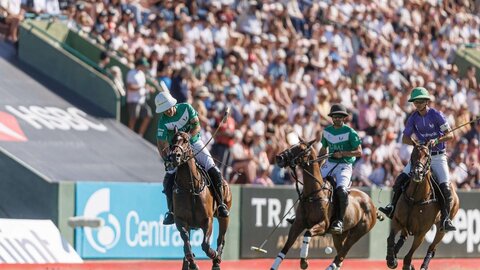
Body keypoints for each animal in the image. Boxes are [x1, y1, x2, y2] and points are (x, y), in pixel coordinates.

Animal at [169, 130, 232, 268]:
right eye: (171, 140)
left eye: (186, 140)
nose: (174, 156)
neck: (190, 187)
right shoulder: (181, 220)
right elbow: (186, 243)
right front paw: (192, 263)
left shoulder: (207, 220)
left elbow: (205, 244)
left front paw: (214, 255)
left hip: (224, 216)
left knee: (221, 238)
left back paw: (217, 261)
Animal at [272, 139, 380, 270]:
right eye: (292, 145)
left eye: (301, 149)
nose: (279, 157)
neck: (314, 194)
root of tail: (372, 204)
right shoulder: (298, 224)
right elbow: (286, 246)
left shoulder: (323, 224)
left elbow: (307, 233)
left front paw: (304, 262)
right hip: (340, 234)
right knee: (340, 253)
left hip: (359, 231)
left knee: (343, 253)